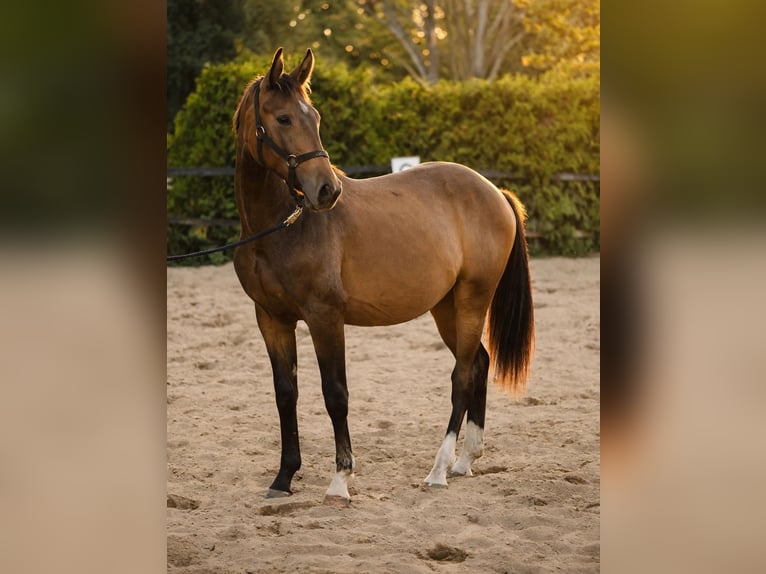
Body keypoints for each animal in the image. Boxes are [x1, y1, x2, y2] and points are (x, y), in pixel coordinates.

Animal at [231, 48, 534, 505]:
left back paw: (439, 468)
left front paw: (340, 479)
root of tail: (494, 191)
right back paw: (465, 460)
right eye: (283, 118)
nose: (327, 191)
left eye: (314, 117)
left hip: (472, 300)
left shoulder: (325, 317)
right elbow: (286, 394)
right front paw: (284, 478)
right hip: (445, 307)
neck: (280, 227)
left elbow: (335, 394)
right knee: (479, 362)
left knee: (462, 375)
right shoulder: (271, 319)